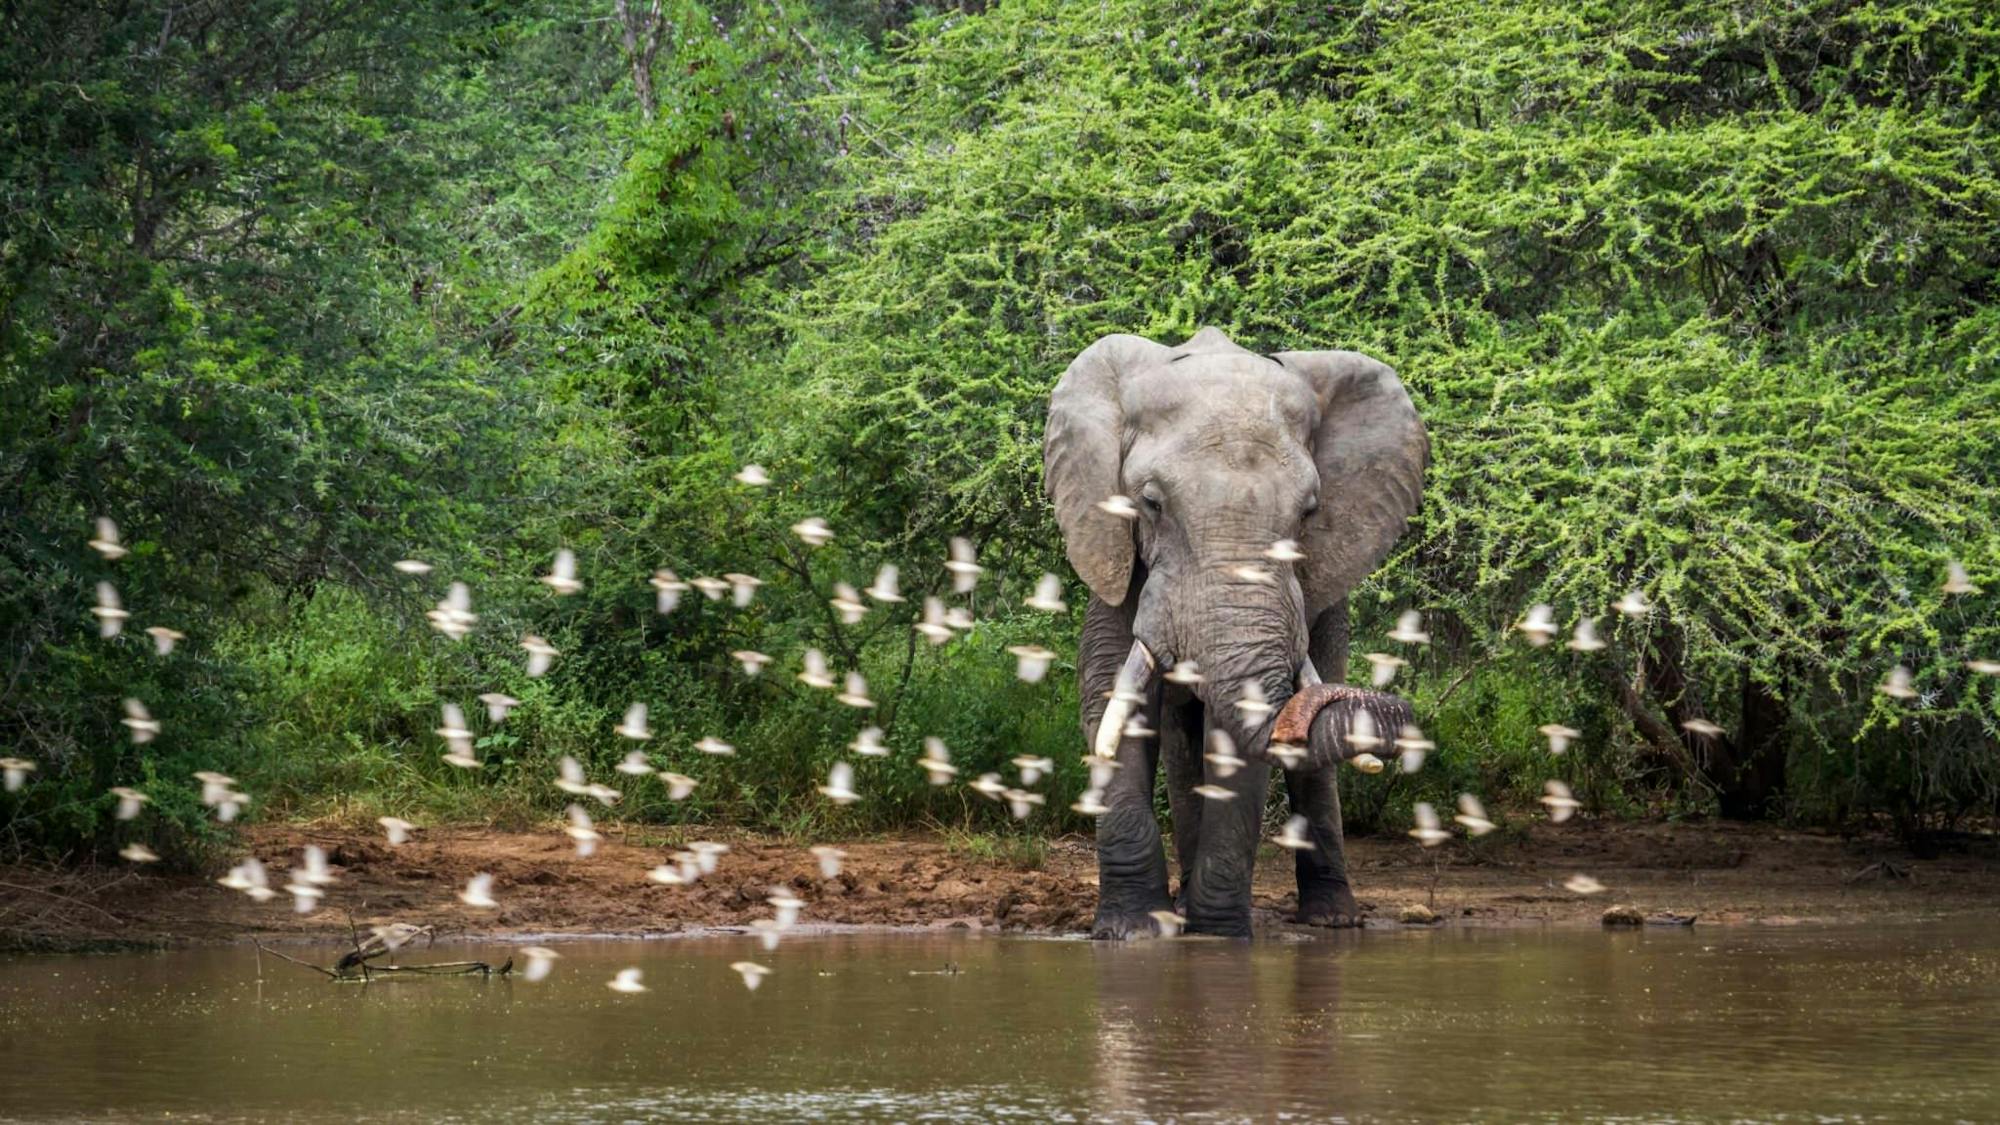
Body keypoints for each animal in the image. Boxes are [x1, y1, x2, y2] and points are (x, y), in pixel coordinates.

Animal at [1040, 326, 1432, 936]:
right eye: (1150, 503)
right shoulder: (1113, 550)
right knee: (1181, 736)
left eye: (1309, 513)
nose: (1394, 717)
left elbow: (1238, 732)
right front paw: (1131, 931)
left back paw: (1333, 918)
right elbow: (1109, 698)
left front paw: (1217, 937)